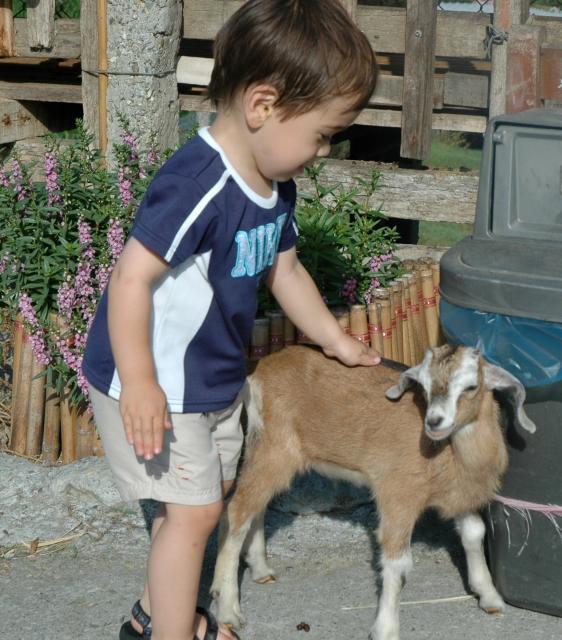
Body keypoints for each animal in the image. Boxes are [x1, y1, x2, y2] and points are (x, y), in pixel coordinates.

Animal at [211, 344, 536, 640]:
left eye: (471, 386)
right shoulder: (398, 495)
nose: (434, 422)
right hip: (275, 448)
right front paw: (386, 629)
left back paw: (259, 569)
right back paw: (228, 610)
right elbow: (398, 562)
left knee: (253, 506)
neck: (447, 452)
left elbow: (474, 533)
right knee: (236, 510)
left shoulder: (459, 492)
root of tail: (261, 369)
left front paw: (490, 598)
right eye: (425, 387)